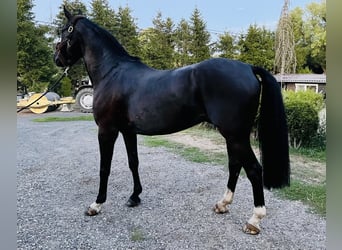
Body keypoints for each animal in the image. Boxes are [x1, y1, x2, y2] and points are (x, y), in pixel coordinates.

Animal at [55, 7, 288, 234]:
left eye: (64, 31)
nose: (57, 59)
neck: (112, 72)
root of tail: (248, 68)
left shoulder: (106, 130)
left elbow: (104, 168)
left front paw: (96, 205)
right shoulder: (128, 131)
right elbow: (133, 162)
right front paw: (134, 197)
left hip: (235, 135)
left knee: (254, 170)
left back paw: (254, 220)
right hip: (233, 136)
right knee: (235, 165)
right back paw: (222, 204)